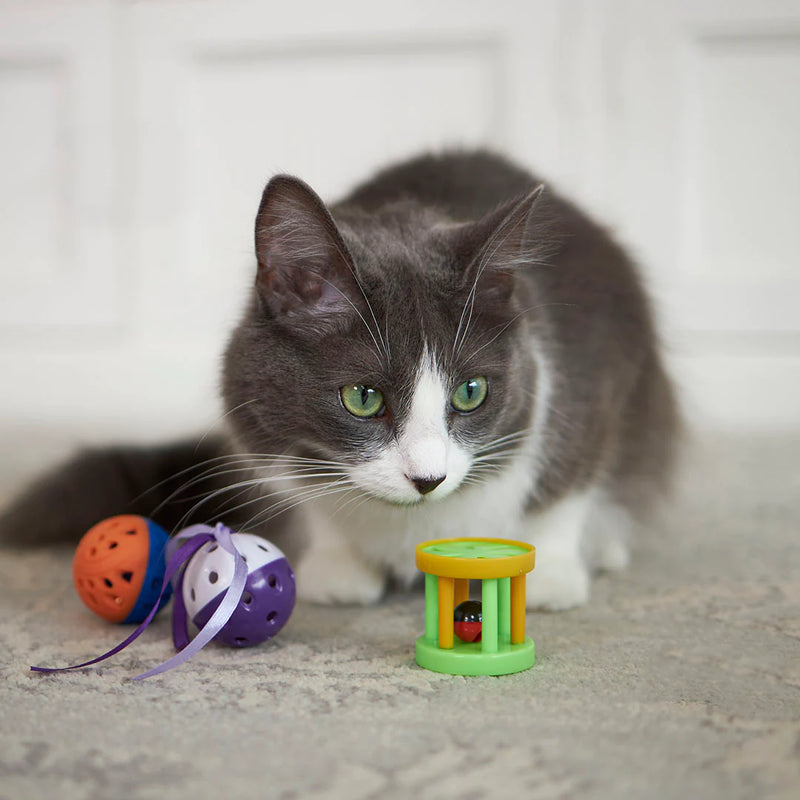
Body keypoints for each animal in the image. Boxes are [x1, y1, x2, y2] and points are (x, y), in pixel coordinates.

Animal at [0, 152, 680, 612]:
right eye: (362, 397)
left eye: (471, 392)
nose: (428, 479)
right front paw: (338, 571)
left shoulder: (598, 369)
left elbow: (569, 477)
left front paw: (551, 575)